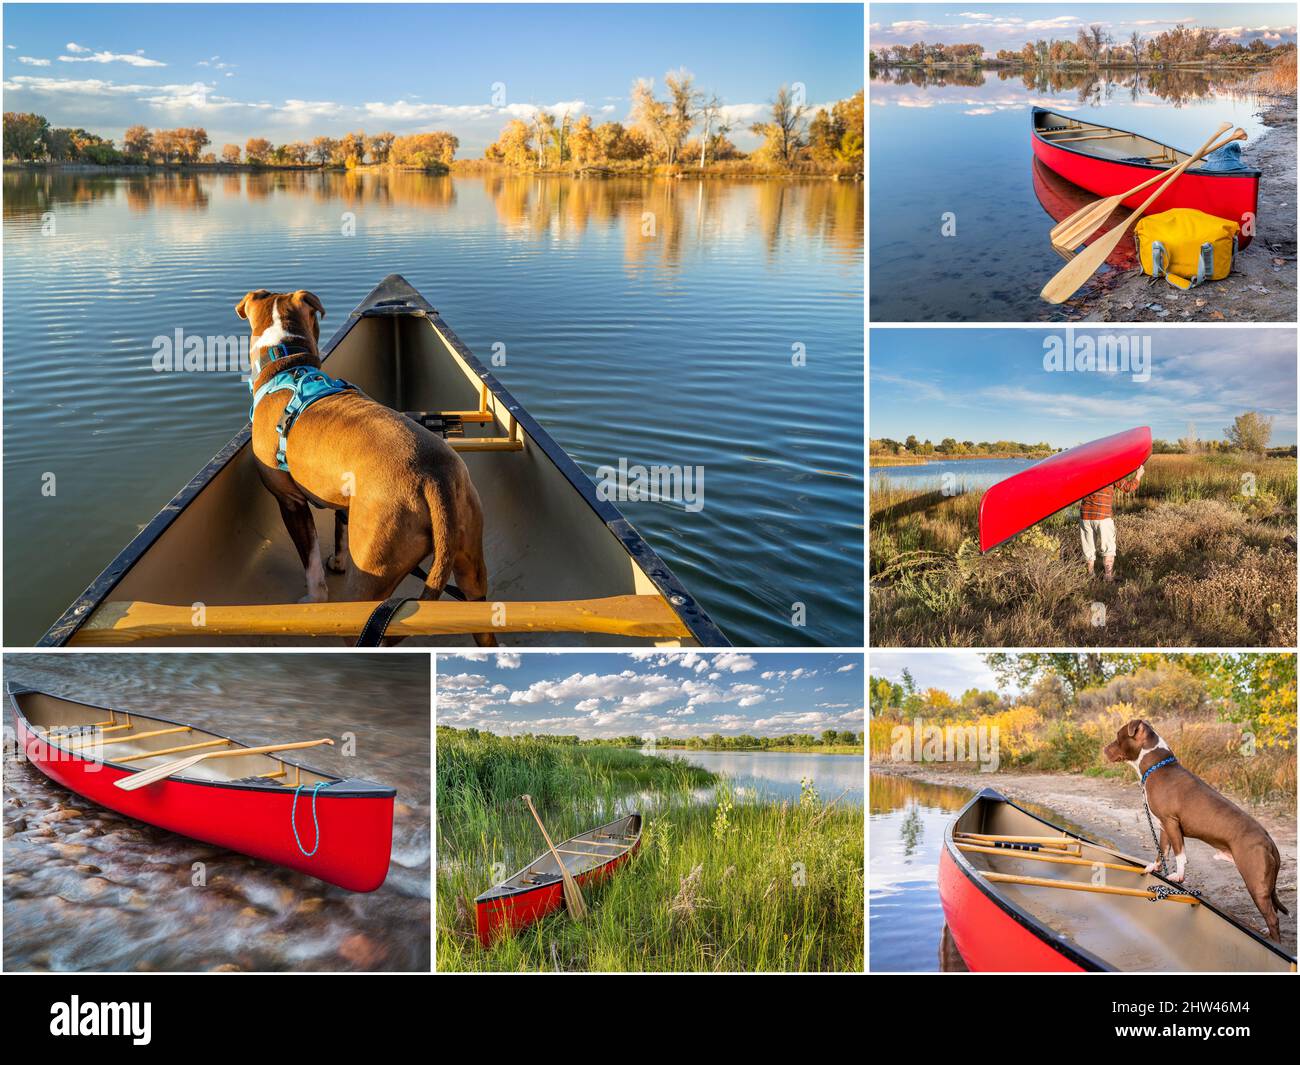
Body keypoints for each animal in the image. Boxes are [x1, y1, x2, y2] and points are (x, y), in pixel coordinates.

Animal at [236, 287, 493, 644]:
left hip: (372, 570)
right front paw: (338, 561)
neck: (285, 363)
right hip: (470, 561)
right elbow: (339, 532)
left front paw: (313, 598)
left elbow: (310, 561)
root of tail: (434, 478)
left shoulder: (290, 502)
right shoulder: (344, 498)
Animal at [1102, 717, 1284, 941]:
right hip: (1265, 884)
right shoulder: (1163, 826)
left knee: (1272, 917)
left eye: (1118, 737)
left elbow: (1180, 854)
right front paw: (1155, 867)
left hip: (1255, 882)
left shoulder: (1172, 822)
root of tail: (1269, 842)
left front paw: (1178, 876)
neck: (1155, 766)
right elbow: (1162, 850)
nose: (1104, 749)